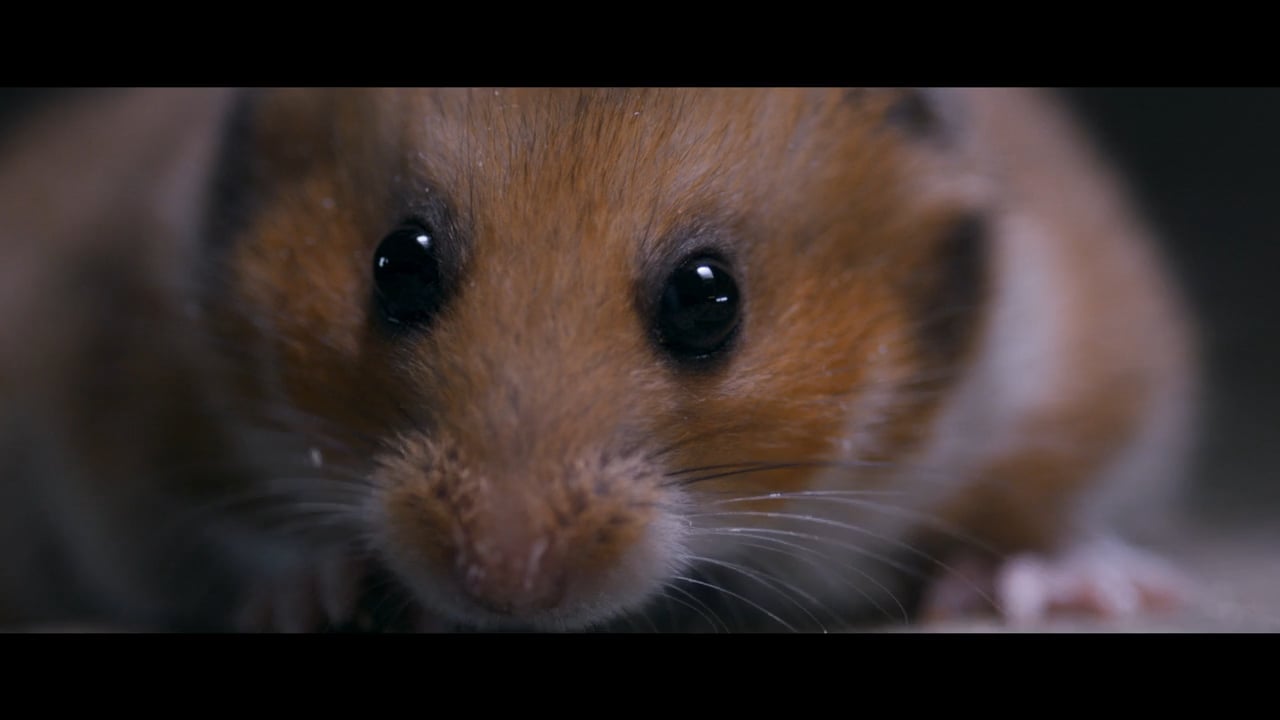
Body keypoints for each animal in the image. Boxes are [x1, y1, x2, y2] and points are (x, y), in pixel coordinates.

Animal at [0, 88, 1197, 632]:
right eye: (397, 263)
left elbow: (1041, 510)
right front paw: (312, 595)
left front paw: (1065, 591)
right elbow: (228, 527)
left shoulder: (1080, 363)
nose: (502, 584)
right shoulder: (128, 390)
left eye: (707, 297)